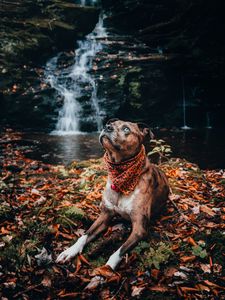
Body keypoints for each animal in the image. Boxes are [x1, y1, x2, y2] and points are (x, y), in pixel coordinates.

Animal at [55, 120, 169, 272]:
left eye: (126, 129)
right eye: (111, 123)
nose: (106, 127)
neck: (121, 174)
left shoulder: (140, 228)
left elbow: (120, 250)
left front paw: (107, 268)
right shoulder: (105, 215)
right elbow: (85, 235)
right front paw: (70, 251)